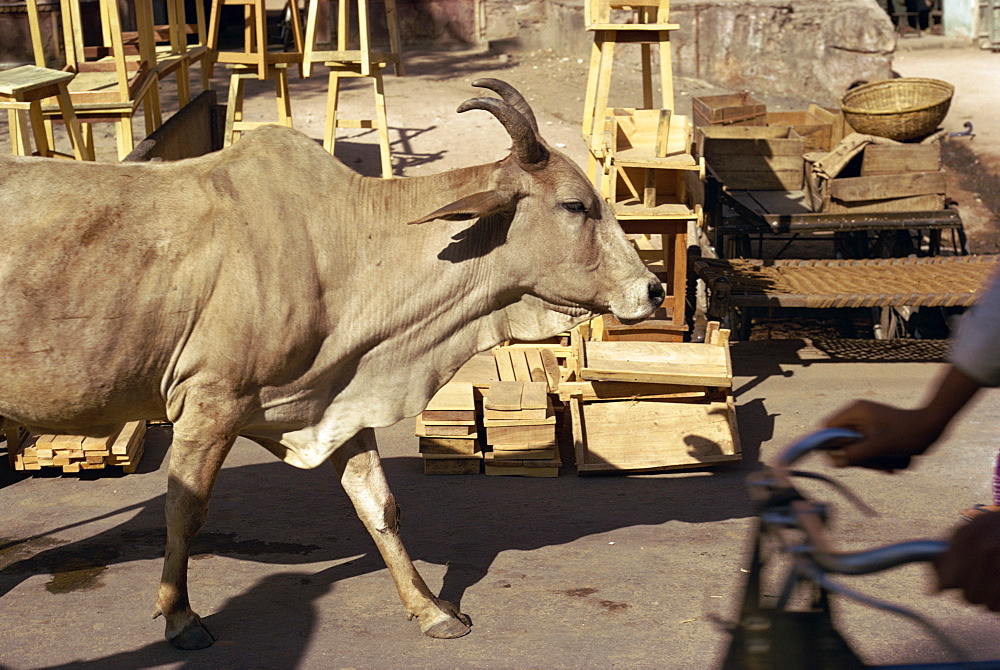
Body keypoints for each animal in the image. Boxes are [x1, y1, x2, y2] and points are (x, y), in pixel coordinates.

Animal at [0, 79, 664, 652]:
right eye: (576, 205)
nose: (653, 289)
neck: (338, 247)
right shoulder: (208, 405)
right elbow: (184, 511)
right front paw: (180, 617)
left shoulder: (341, 400)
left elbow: (378, 505)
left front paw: (431, 610)